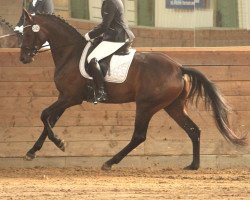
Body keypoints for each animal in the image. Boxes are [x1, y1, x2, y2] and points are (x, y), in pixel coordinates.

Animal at [19, 9, 246, 170]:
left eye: (28, 32)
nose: (23, 58)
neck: (70, 53)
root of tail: (178, 68)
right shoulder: (64, 98)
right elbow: (49, 121)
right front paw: (32, 151)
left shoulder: (70, 97)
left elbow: (44, 115)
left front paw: (60, 143)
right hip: (173, 106)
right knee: (193, 130)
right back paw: (193, 165)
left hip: (146, 105)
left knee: (139, 136)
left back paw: (109, 162)